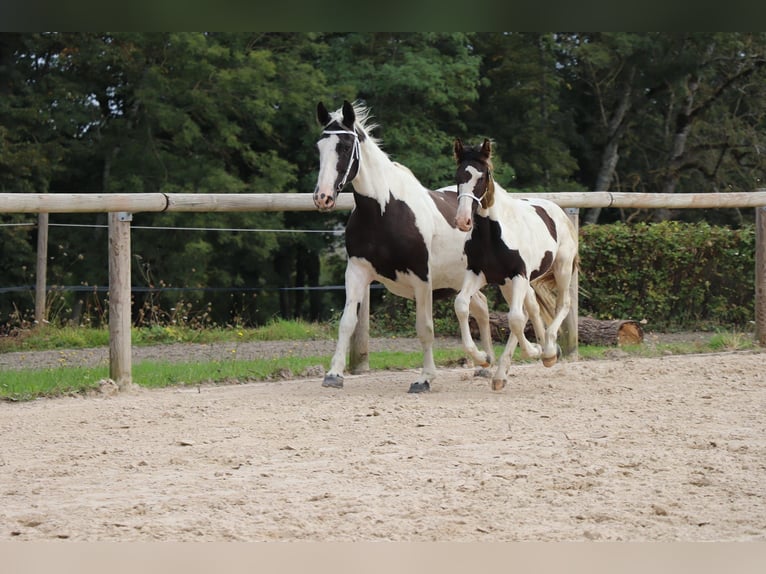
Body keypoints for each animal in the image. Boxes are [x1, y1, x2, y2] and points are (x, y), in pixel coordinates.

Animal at [316, 101, 496, 394]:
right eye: (319, 146)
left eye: (345, 146)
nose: (323, 197)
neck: (385, 210)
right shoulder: (356, 271)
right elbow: (347, 323)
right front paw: (334, 375)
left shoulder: (422, 278)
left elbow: (425, 328)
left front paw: (424, 379)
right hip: (460, 278)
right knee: (479, 306)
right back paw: (485, 363)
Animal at [452, 138, 580, 392]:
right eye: (458, 175)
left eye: (483, 176)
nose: (463, 220)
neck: (493, 234)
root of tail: (559, 212)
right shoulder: (478, 273)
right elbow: (461, 305)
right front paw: (483, 358)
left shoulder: (518, 274)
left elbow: (515, 319)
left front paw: (536, 351)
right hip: (507, 284)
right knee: (531, 307)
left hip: (560, 268)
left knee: (562, 304)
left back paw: (548, 351)